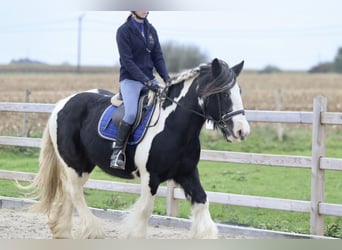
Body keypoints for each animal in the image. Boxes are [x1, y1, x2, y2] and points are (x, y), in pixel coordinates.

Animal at [22, 57, 250, 239]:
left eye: (239, 91)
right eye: (223, 94)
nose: (242, 131)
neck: (173, 126)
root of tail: (62, 103)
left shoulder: (187, 173)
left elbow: (202, 201)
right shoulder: (151, 177)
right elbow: (145, 211)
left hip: (83, 166)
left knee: (70, 193)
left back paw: (63, 232)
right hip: (75, 164)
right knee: (74, 193)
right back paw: (92, 230)